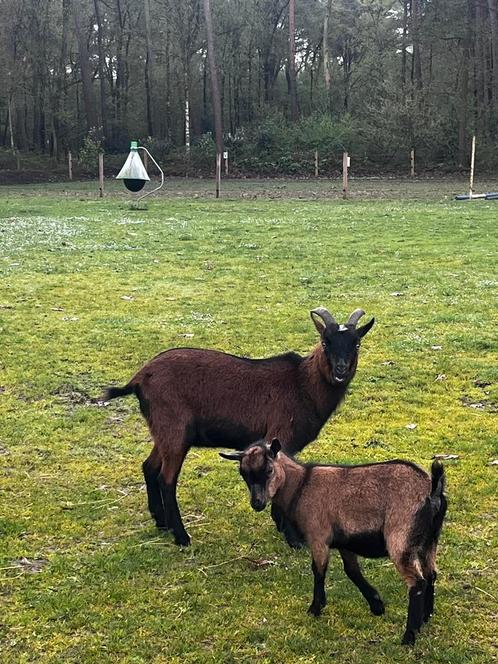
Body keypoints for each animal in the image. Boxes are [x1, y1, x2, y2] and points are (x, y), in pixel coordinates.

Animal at [104, 306, 374, 544]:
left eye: (356, 344)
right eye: (325, 342)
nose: (340, 369)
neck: (302, 384)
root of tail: (139, 378)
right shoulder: (281, 436)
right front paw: (293, 538)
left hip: (163, 432)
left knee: (149, 467)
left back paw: (161, 524)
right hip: (174, 430)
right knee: (166, 479)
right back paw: (181, 537)